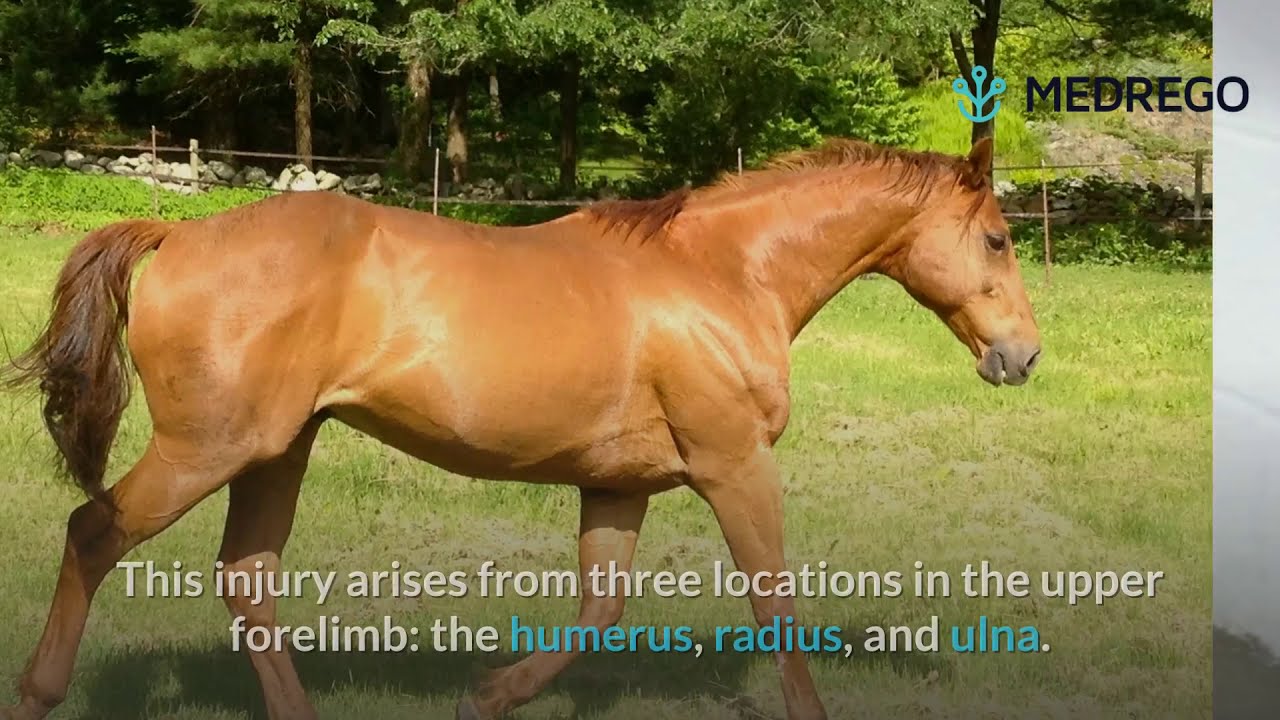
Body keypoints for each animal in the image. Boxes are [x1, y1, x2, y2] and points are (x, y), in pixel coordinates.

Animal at [1, 136, 1040, 720]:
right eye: (996, 238)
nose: (1022, 357)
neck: (722, 275)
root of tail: (176, 233)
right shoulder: (734, 465)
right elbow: (776, 607)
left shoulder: (618, 485)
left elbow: (599, 614)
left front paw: (487, 696)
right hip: (206, 450)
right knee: (93, 534)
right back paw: (38, 693)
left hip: (276, 450)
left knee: (247, 579)